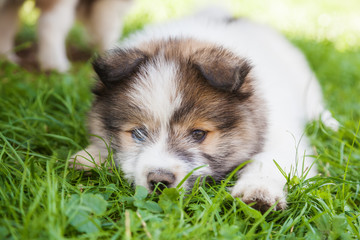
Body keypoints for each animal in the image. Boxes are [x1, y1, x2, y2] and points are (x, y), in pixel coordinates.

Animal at [70, 9, 338, 211]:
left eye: (198, 134)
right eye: (138, 133)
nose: (159, 180)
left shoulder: (283, 137)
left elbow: (268, 160)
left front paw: (258, 192)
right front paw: (89, 157)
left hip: (306, 84)